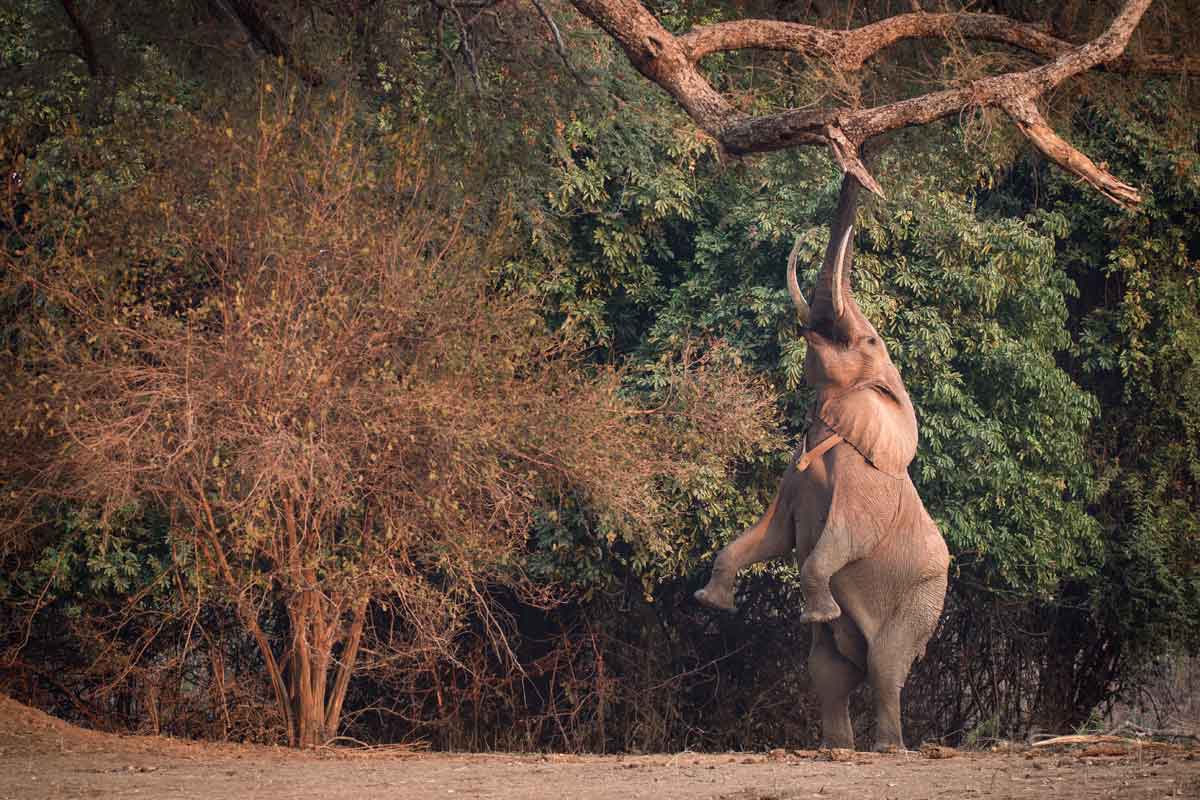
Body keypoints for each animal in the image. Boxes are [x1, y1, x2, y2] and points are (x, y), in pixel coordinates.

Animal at [696, 176, 945, 758]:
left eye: (869, 340)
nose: (808, 328)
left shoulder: (863, 478)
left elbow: (843, 537)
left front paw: (817, 611)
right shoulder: (794, 472)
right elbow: (773, 535)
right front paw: (711, 603)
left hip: (922, 598)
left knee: (884, 666)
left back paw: (888, 750)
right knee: (828, 671)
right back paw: (838, 749)